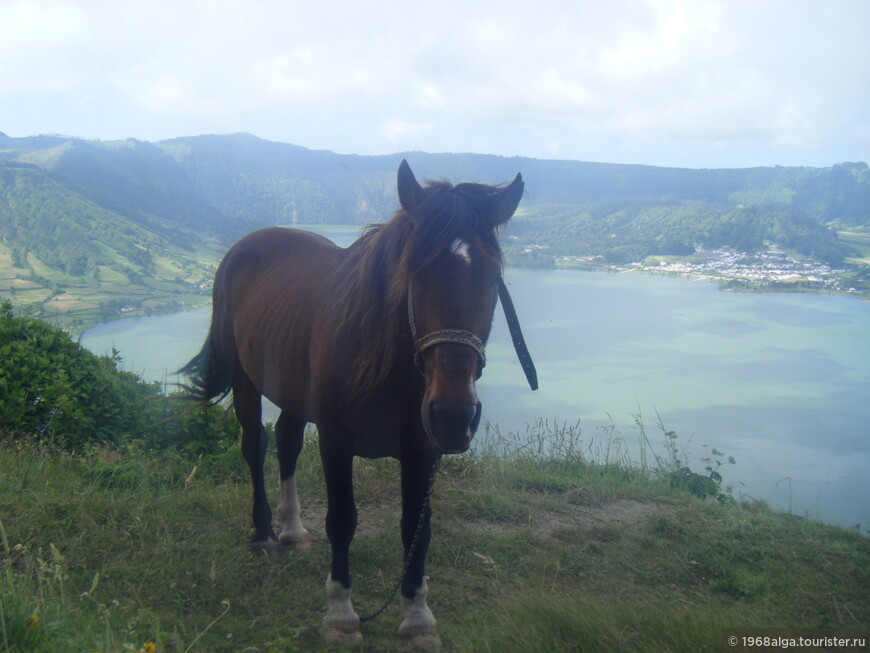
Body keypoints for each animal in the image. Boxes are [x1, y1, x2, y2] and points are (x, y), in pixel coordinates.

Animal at [180, 160, 532, 644]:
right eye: (416, 273)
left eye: (492, 277)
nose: (453, 415)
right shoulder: (336, 440)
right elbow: (342, 521)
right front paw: (341, 613)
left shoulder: (423, 450)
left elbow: (416, 528)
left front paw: (417, 616)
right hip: (245, 379)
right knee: (256, 446)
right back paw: (265, 534)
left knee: (288, 442)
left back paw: (292, 531)